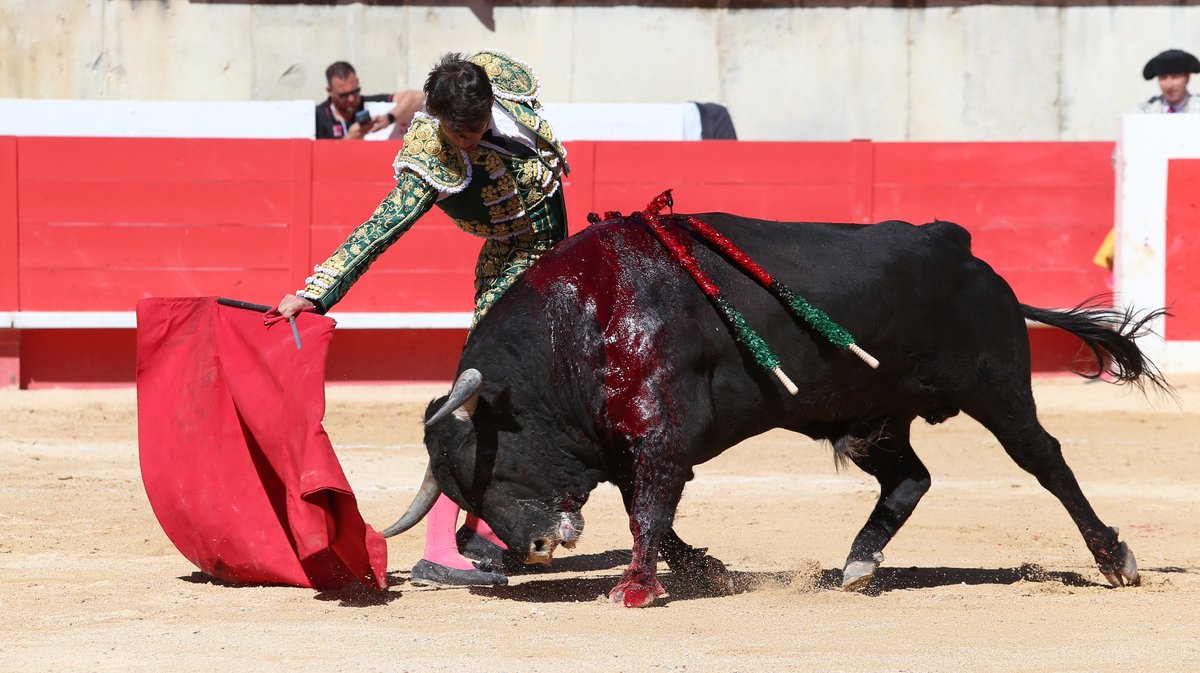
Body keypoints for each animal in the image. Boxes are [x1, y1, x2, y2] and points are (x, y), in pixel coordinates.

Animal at [381, 212, 1161, 607]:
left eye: (487, 468)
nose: (533, 547)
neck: (578, 329)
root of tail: (962, 250)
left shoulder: (660, 435)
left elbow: (650, 508)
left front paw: (636, 590)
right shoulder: (634, 444)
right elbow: (651, 513)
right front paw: (708, 571)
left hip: (995, 387)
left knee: (1045, 459)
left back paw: (1115, 557)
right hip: (872, 411)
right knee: (909, 478)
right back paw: (857, 563)